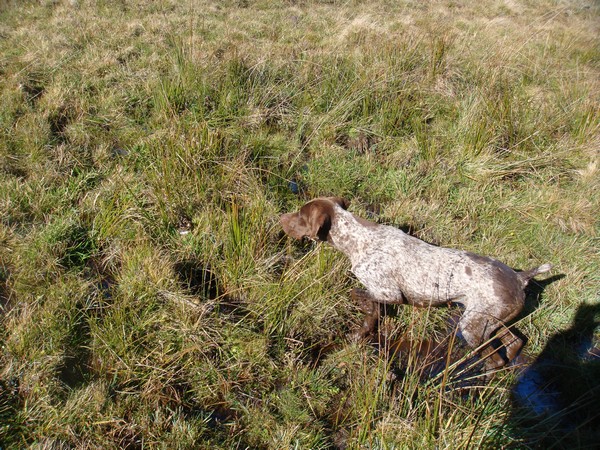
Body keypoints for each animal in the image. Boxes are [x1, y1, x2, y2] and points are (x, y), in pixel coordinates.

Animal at [282, 197, 552, 370]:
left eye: (301, 216)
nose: (281, 217)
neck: (358, 239)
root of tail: (520, 277)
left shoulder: (389, 293)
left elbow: (359, 294)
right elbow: (370, 310)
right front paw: (364, 330)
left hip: (472, 326)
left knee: (495, 359)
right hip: (491, 319)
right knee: (514, 342)